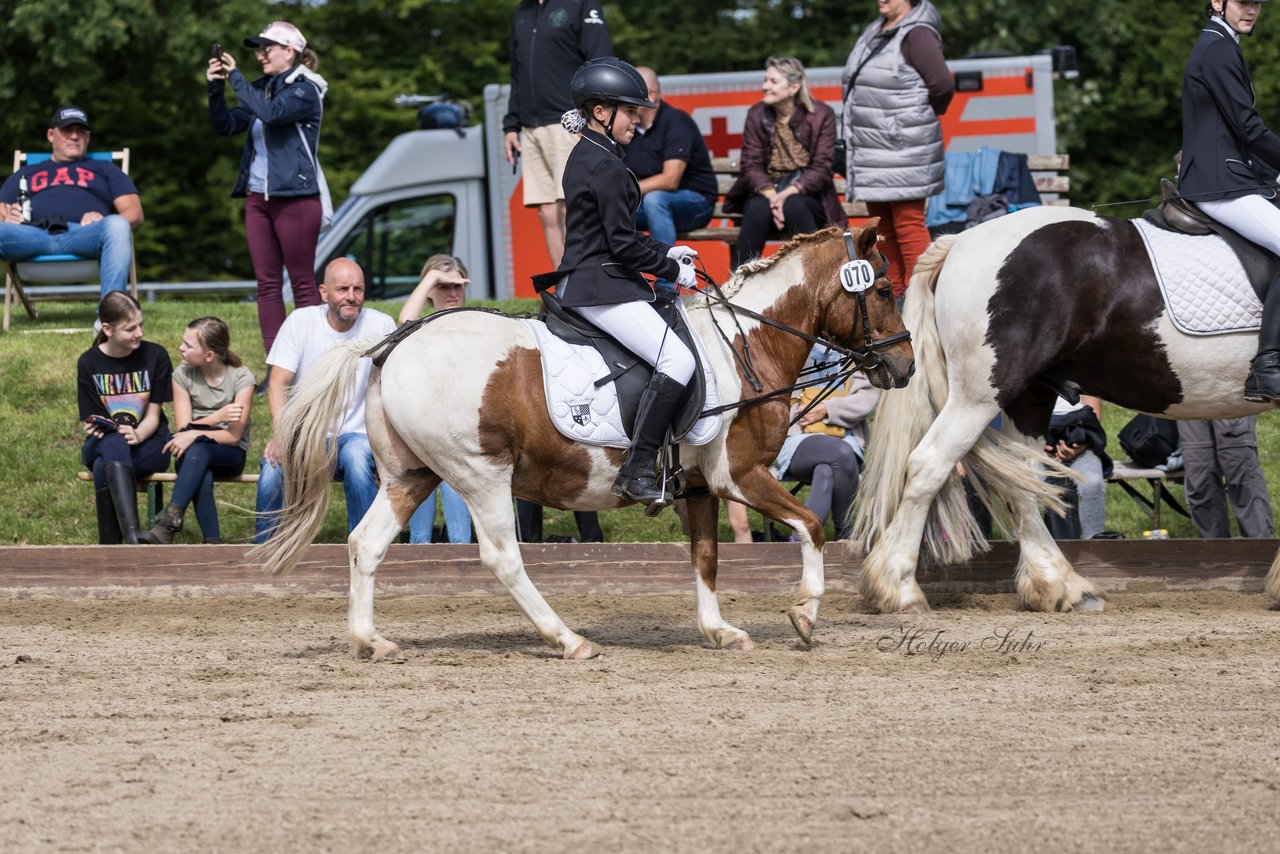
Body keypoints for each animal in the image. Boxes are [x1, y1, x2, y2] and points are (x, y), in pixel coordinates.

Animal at [249, 225, 916, 660]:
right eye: (884, 290)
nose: (904, 367)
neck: (745, 342)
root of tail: (396, 340)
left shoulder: (700, 486)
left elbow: (705, 557)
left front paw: (719, 631)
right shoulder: (740, 474)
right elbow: (813, 526)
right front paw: (804, 615)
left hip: (411, 476)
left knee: (366, 544)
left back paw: (371, 641)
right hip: (481, 474)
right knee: (503, 558)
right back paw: (568, 640)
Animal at [855, 206, 1280, 614]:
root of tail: (960, 241)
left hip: (1029, 395)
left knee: (1022, 479)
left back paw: (1059, 586)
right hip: (979, 395)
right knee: (929, 464)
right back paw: (899, 589)